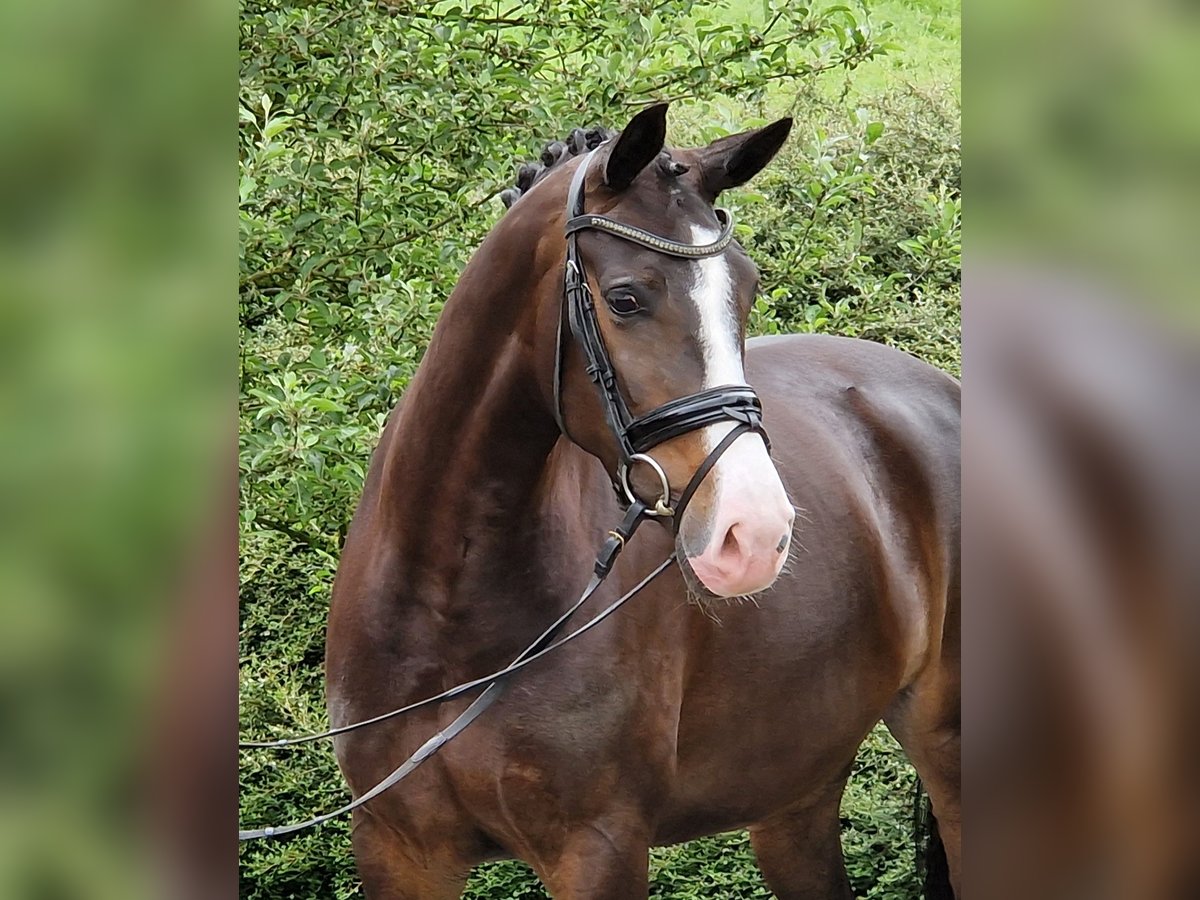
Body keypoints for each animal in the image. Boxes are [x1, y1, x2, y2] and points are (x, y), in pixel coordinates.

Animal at [324, 103, 960, 897]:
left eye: (748, 289)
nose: (756, 533)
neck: (446, 599)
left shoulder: (599, 848)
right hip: (795, 790)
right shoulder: (398, 849)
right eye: (626, 299)